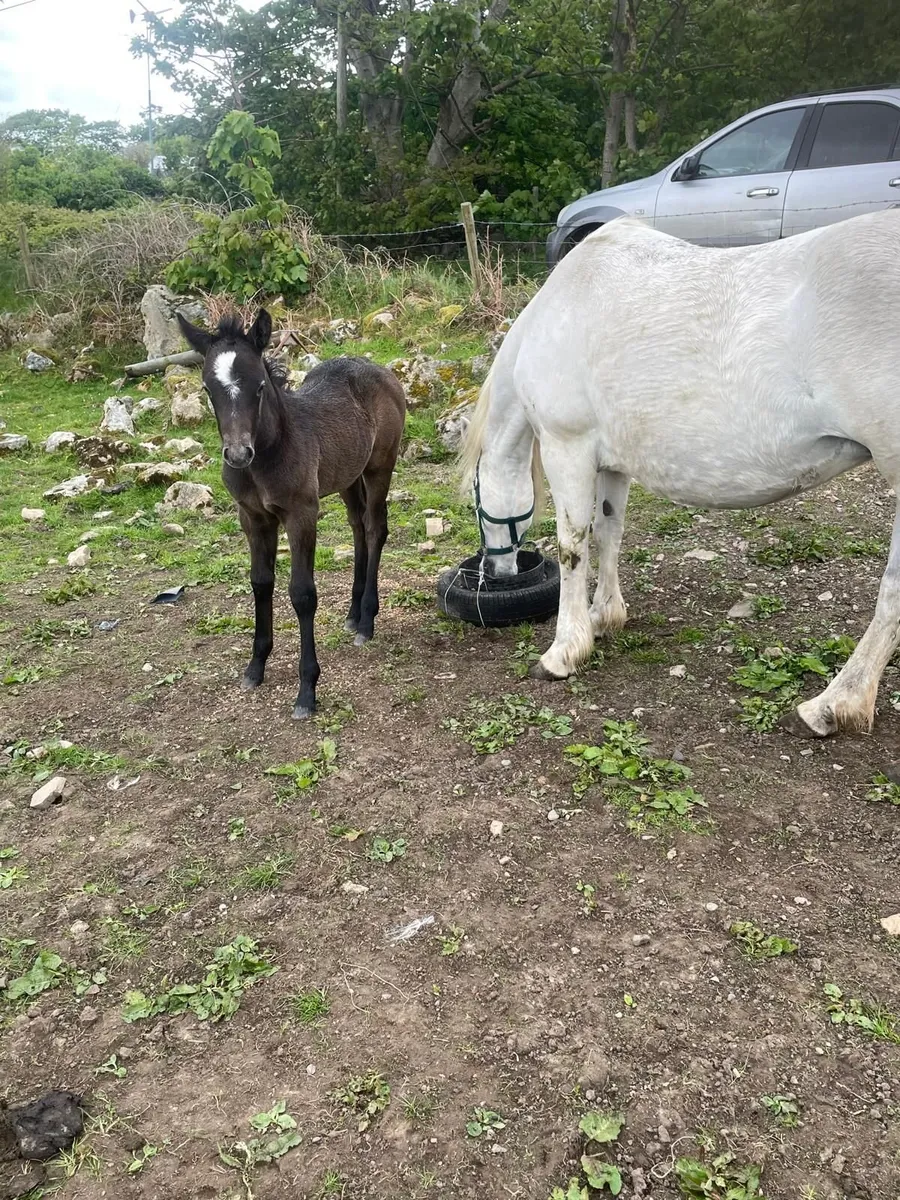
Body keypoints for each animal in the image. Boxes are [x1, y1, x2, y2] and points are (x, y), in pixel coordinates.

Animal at [177, 309, 406, 719]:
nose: (238, 454)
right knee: (358, 526)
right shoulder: (252, 518)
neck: (268, 453)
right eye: (207, 389)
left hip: (380, 466)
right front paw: (255, 667)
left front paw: (306, 691)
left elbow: (302, 594)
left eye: (259, 387)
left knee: (375, 528)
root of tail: (380, 370)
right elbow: (260, 583)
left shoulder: (302, 514)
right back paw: (353, 615)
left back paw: (367, 619)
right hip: (348, 475)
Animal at [460, 208, 900, 739]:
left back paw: (832, 705)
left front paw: (564, 651)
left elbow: (572, 548)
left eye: (476, 496)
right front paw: (603, 616)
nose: (493, 572)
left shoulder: (569, 448)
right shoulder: (612, 463)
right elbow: (609, 533)